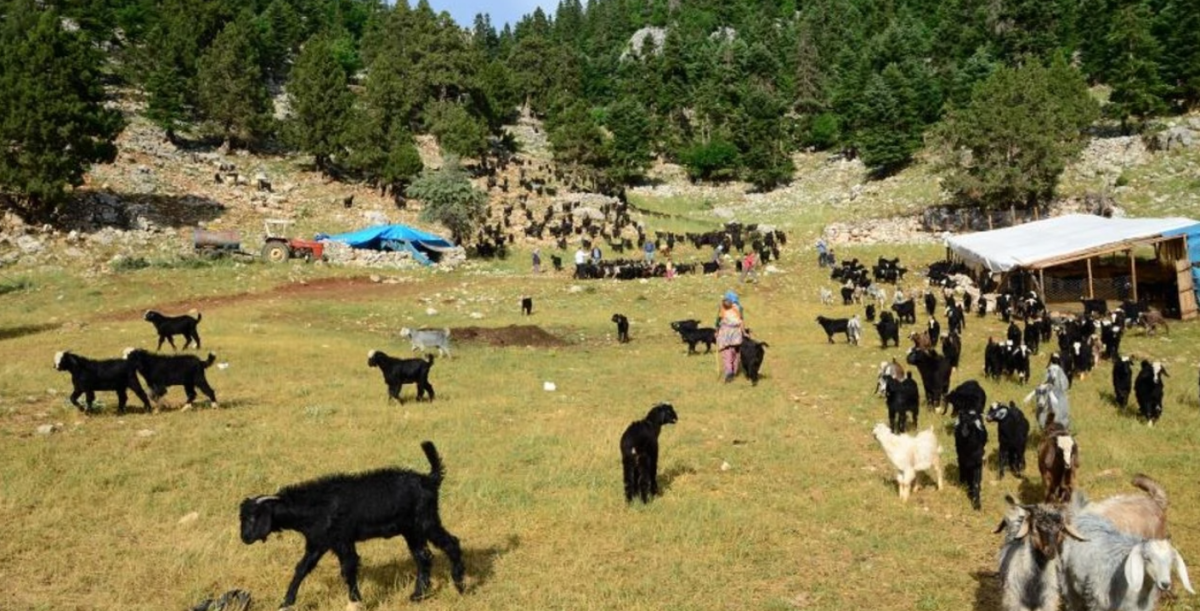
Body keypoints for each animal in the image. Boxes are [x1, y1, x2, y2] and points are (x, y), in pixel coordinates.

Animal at [241, 441, 465, 607]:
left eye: (253, 518)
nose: (244, 538)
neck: (316, 506)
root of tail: (429, 479)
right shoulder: (318, 543)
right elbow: (302, 568)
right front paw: (286, 602)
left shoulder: (342, 540)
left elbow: (348, 567)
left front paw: (356, 601)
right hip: (411, 530)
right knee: (423, 557)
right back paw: (418, 595)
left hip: (426, 521)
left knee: (451, 543)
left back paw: (460, 585)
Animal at [1060, 508, 1190, 609]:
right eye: (1147, 558)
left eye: (1171, 560)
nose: (1165, 584)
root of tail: (1083, 516)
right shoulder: (1098, 601)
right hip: (1067, 578)